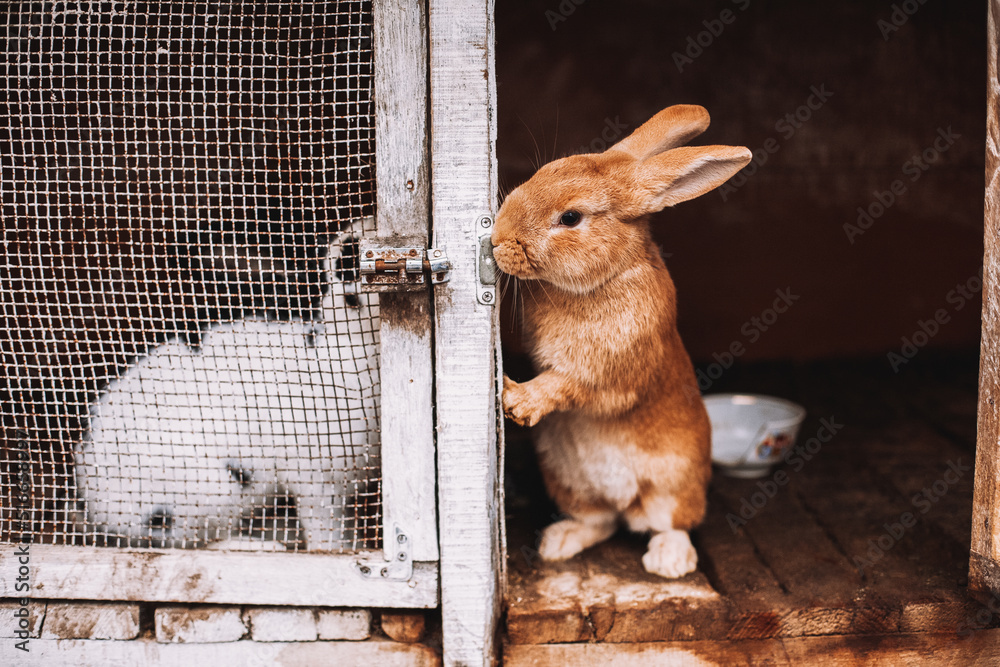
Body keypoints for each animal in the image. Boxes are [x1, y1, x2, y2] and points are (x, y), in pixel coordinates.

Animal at [492, 105, 751, 578]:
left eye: (571, 218)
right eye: (544, 171)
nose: (497, 238)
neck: (604, 278)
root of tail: (623, 502)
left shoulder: (608, 371)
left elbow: (566, 384)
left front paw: (516, 400)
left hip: (673, 486)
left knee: (669, 523)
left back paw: (669, 561)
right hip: (568, 481)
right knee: (601, 522)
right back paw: (559, 542)